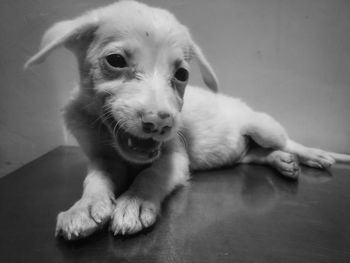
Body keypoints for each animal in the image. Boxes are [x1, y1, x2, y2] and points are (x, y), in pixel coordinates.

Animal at [26, 0, 348, 240]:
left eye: (181, 74)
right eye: (115, 60)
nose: (160, 124)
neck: (107, 134)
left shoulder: (175, 156)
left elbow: (151, 174)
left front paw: (135, 202)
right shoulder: (100, 157)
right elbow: (94, 180)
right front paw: (84, 207)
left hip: (263, 127)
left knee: (287, 142)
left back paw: (313, 155)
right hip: (243, 152)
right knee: (257, 154)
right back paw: (282, 162)